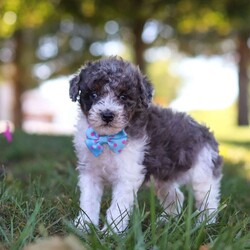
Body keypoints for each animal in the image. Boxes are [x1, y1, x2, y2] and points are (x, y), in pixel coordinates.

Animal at [70, 56, 223, 232]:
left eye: (123, 97)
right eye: (93, 94)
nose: (107, 115)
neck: (107, 139)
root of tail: (206, 132)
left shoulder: (127, 176)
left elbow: (117, 208)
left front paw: (111, 232)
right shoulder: (89, 173)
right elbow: (88, 201)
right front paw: (83, 227)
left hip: (202, 174)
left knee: (208, 202)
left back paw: (205, 225)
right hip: (163, 178)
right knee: (177, 196)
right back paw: (166, 221)